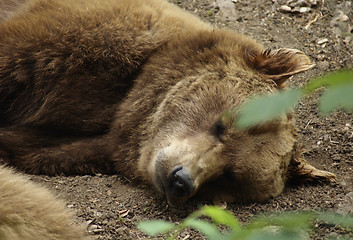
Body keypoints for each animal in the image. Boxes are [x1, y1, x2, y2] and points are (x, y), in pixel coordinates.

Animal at [0, 0, 334, 205]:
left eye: (230, 176)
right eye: (222, 125)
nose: (181, 181)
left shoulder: (79, 142)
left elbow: (24, 146)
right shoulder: (78, 39)